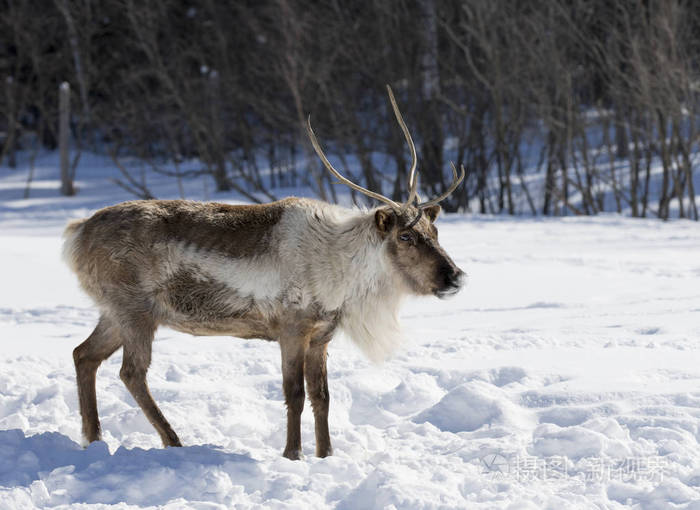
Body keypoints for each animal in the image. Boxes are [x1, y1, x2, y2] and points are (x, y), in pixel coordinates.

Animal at [63, 86, 466, 459]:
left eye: (435, 232)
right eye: (405, 235)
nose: (455, 276)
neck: (343, 275)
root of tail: (76, 234)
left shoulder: (321, 335)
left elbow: (323, 397)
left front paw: (326, 454)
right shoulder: (291, 328)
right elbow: (295, 394)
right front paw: (293, 454)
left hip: (115, 312)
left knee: (84, 355)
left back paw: (94, 438)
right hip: (135, 310)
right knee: (131, 372)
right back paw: (172, 441)